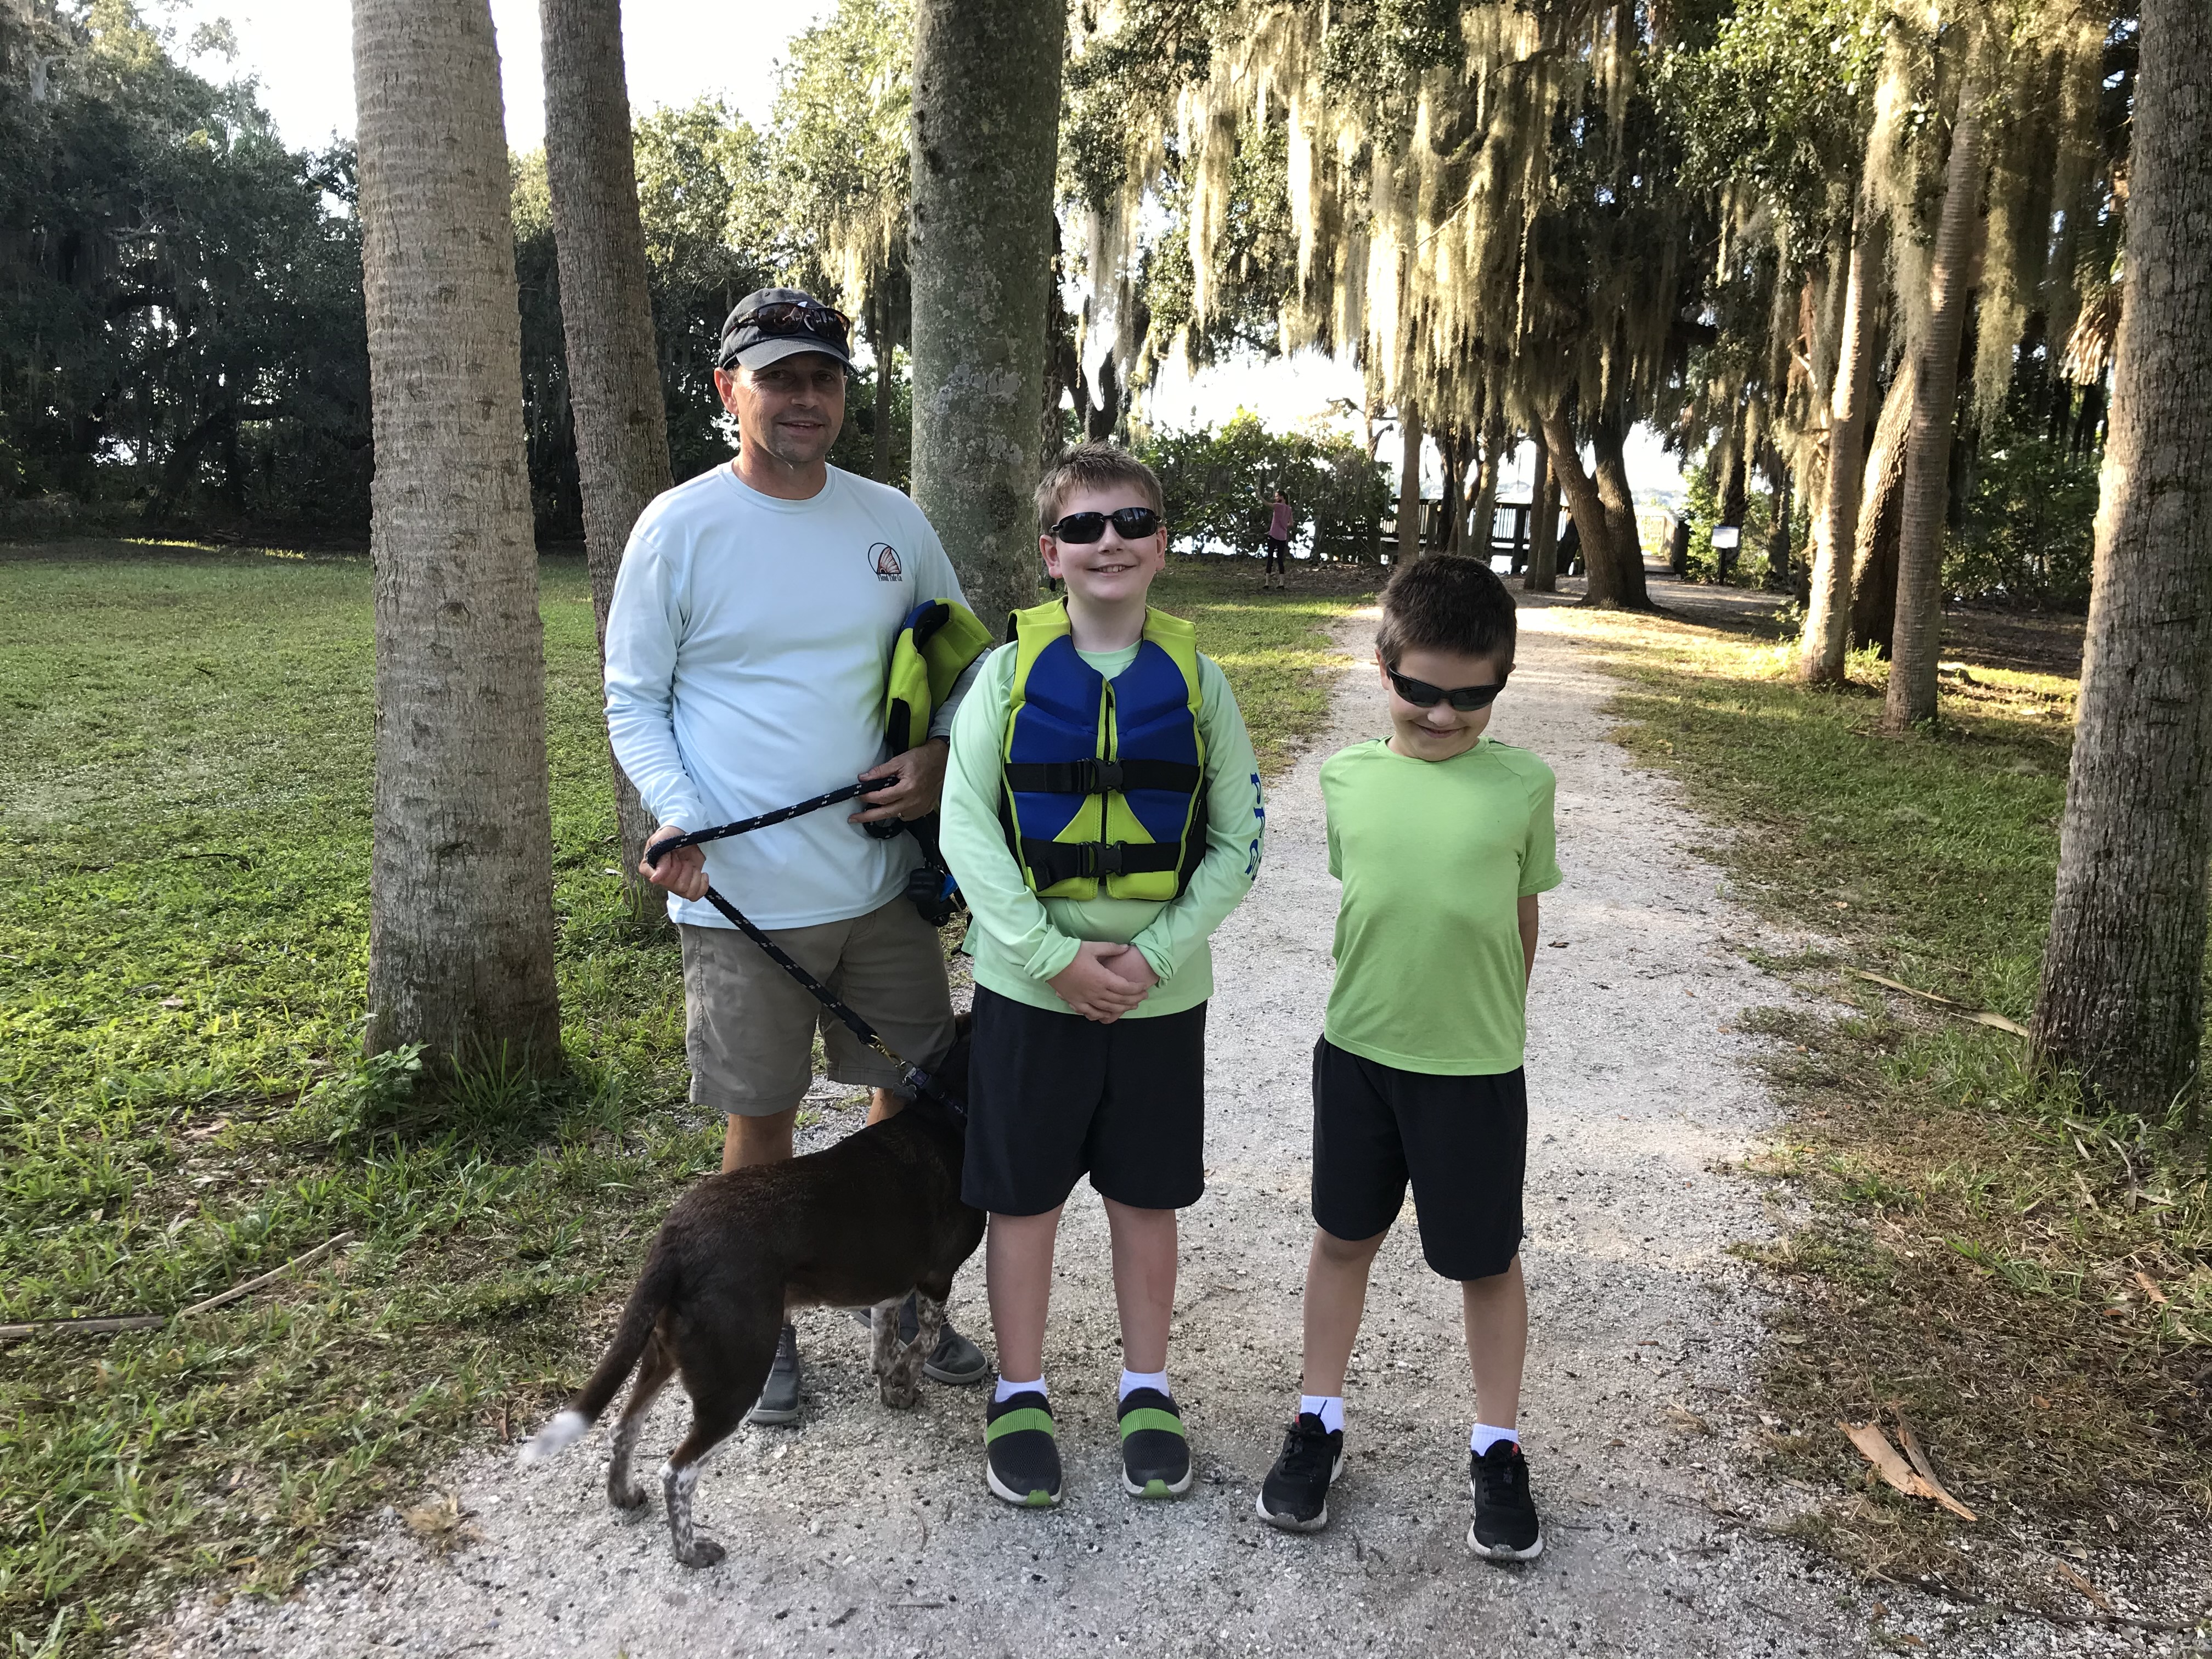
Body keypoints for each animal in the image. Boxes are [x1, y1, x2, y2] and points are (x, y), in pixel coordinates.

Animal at [520, 1026, 983, 1567]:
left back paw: (624, 1496)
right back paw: (691, 1551)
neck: (945, 1113)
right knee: (678, 1471)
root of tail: (675, 1241)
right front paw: (907, 1379)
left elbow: (886, 1345)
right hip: (737, 1375)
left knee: (624, 1427)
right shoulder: (937, 1277)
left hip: (664, 1354)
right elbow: (923, 1342)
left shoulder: (890, 1287)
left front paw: (895, 1389)